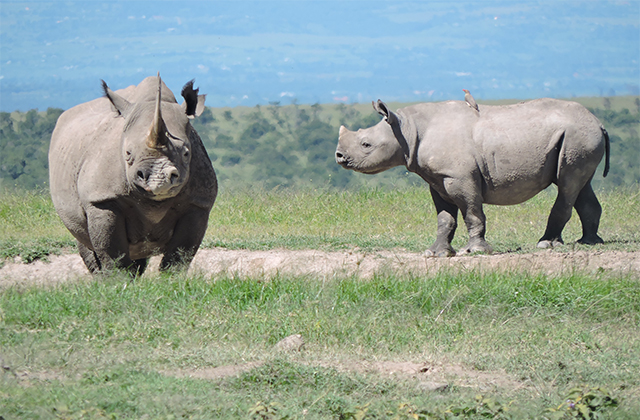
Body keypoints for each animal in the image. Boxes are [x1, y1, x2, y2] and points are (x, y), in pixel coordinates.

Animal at [49, 75, 217, 275]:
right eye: (127, 153)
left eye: (186, 153)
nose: (158, 179)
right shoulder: (102, 199)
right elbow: (112, 254)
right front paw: (118, 280)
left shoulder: (197, 203)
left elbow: (180, 255)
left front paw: (170, 279)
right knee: (86, 241)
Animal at [335, 98, 610, 256]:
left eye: (366, 144)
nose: (339, 156)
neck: (406, 128)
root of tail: (599, 122)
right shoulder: (438, 178)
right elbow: (445, 218)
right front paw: (436, 254)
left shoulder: (460, 177)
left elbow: (471, 212)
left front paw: (476, 251)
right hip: (581, 138)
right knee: (579, 184)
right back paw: (589, 243)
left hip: (578, 135)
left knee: (568, 185)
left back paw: (546, 245)